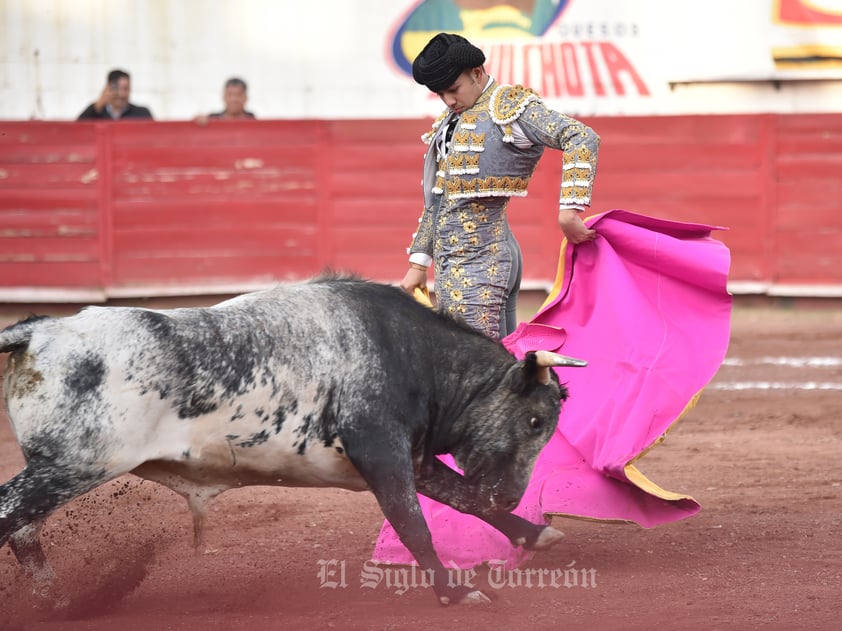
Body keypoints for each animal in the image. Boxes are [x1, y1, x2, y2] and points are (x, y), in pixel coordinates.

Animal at [0, 276, 584, 608]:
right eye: (536, 422)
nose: (512, 495)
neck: (412, 354)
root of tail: (40, 330)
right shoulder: (381, 449)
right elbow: (413, 523)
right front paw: (456, 592)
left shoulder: (412, 458)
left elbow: (463, 499)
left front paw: (536, 534)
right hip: (73, 466)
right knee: (12, 516)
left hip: (59, 469)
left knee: (24, 533)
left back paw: (57, 601)